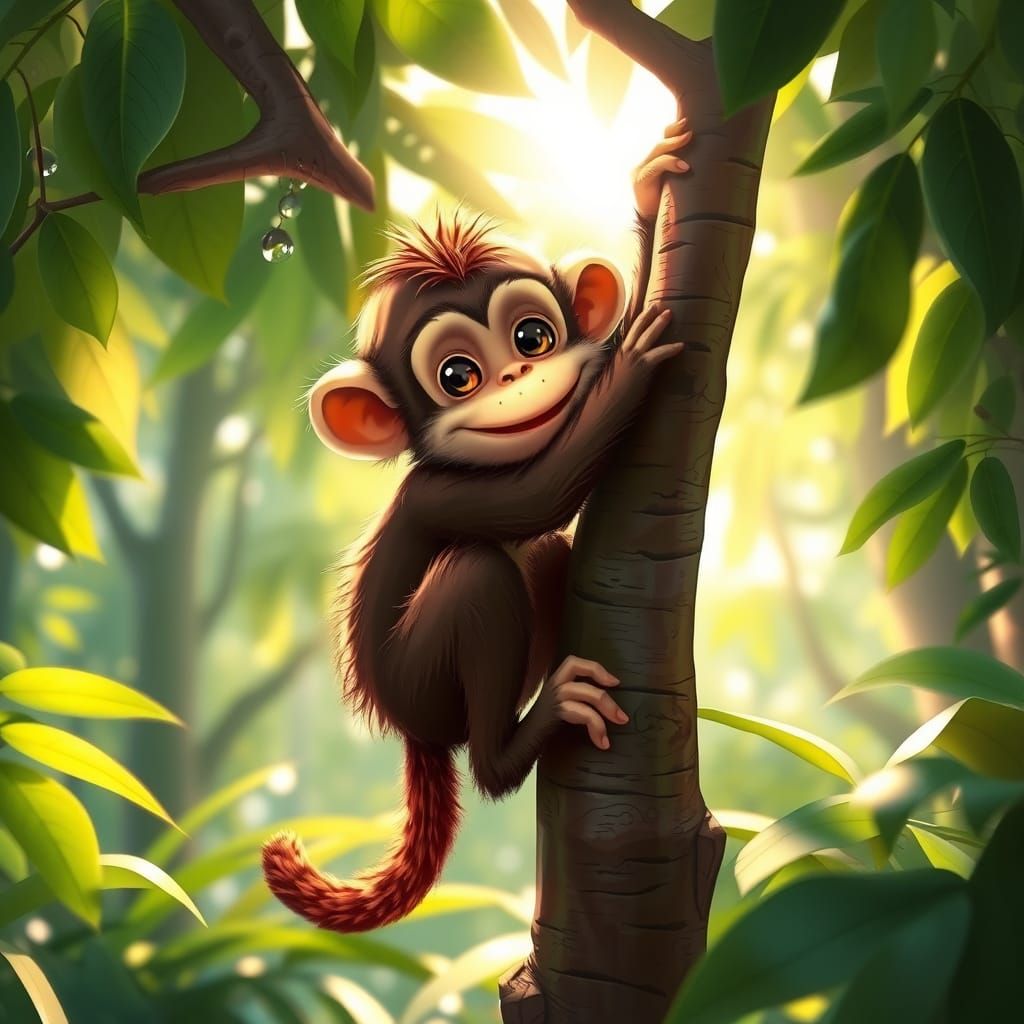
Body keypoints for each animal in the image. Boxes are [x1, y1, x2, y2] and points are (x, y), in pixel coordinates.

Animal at [262, 120, 694, 934]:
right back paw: (523, 737)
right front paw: (629, 364)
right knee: (479, 574)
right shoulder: (439, 492)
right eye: (457, 376)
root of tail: (411, 730)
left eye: (533, 336)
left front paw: (649, 195)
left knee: (547, 556)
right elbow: (541, 496)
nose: (520, 379)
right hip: (424, 679)